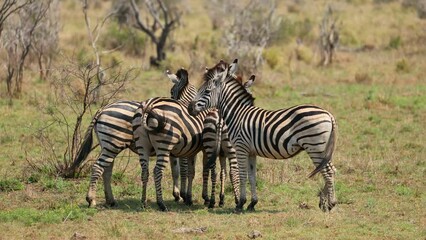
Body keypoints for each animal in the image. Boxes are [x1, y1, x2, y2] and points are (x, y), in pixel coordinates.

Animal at [70, 68, 193, 207]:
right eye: (171, 92)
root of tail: (102, 109)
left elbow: (175, 171)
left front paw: (176, 195)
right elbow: (183, 170)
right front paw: (182, 195)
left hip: (107, 145)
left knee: (106, 169)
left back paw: (110, 200)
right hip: (113, 144)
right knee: (98, 167)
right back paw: (91, 200)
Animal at [131, 67, 241, 210]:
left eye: (171, 92)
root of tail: (149, 105)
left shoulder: (189, 150)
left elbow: (187, 172)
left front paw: (186, 196)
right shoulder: (199, 149)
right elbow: (200, 170)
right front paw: (200, 197)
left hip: (142, 144)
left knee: (145, 171)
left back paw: (143, 202)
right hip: (164, 145)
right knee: (157, 171)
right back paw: (161, 204)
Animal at [188, 59, 338, 213]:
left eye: (206, 91)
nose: (189, 108)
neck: (237, 114)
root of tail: (328, 114)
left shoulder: (241, 148)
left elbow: (242, 175)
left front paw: (240, 203)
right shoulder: (251, 152)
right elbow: (252, 176)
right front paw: (252, 203)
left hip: (315, 146)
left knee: (328, 172)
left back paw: (331, 203)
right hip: (322, 148)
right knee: (330, 170)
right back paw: (325, 203)